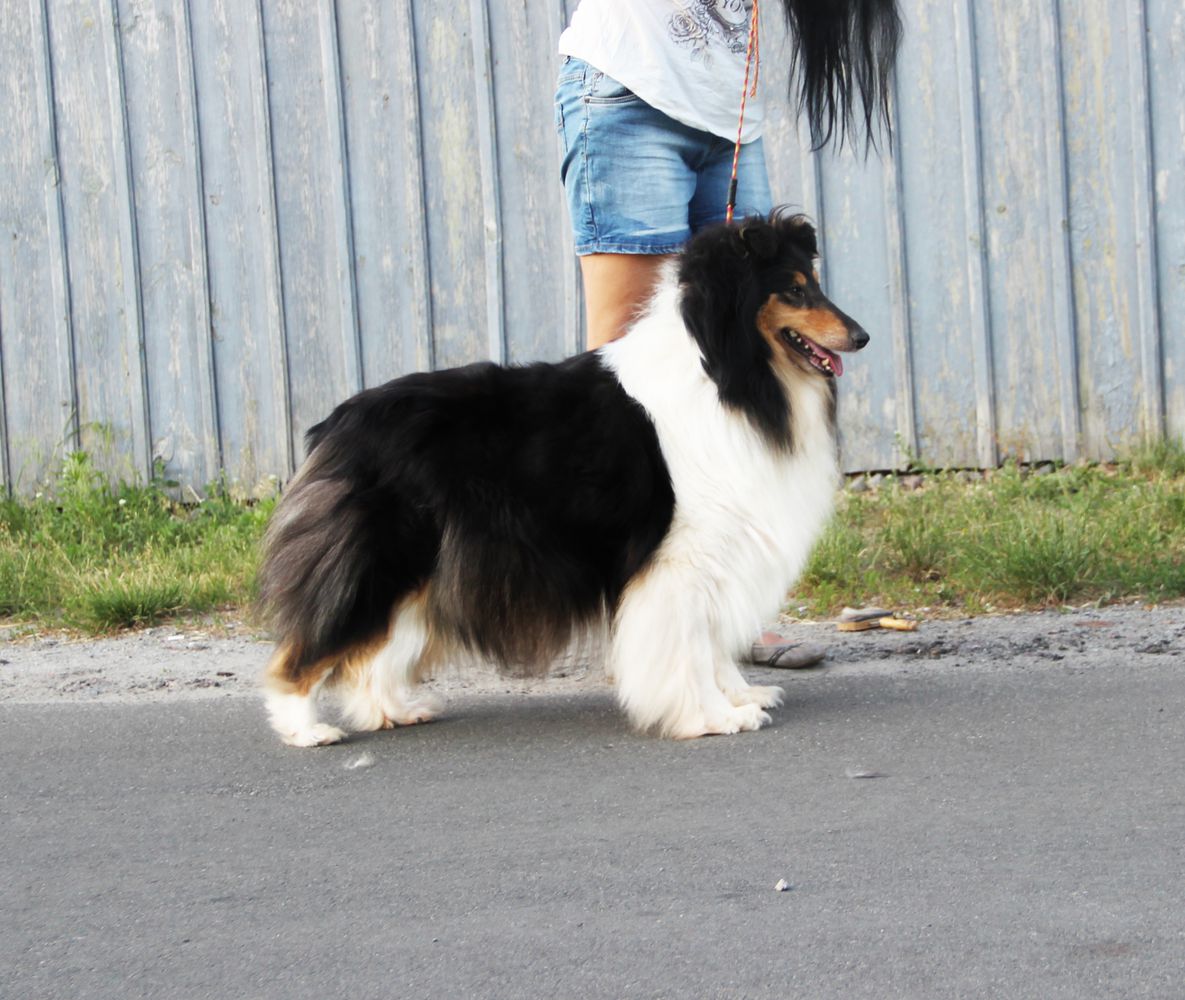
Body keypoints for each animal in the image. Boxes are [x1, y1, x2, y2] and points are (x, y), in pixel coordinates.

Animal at [261, 213, 872, 744]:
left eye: (813, 283)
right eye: (793, 290)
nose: (862, 336)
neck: (724, 373)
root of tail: (337, 422)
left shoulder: (718, 552)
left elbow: (713, 641)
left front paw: (740, 696)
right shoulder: (679, 560)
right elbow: (691, 645)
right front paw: (711, 716)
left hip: (419, 571)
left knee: (376, 648)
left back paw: (394, 709)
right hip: (379, 557)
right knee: (304, 649)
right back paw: (305, 729)